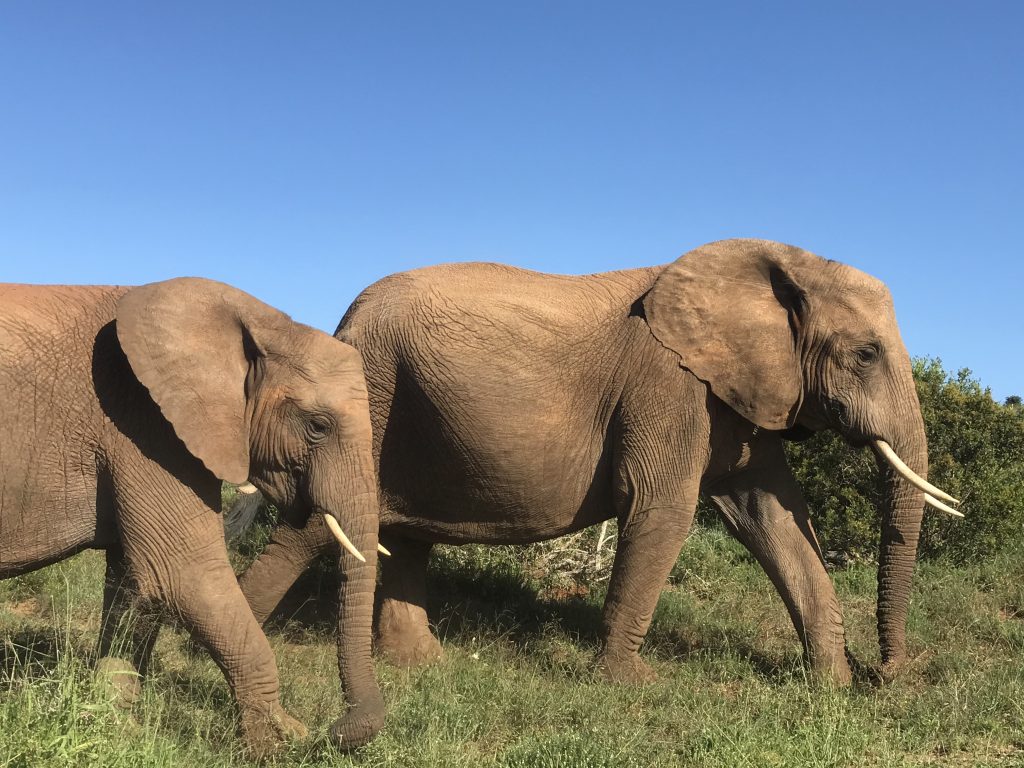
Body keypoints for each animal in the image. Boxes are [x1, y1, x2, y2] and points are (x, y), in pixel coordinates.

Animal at [0, 278, 382, 757]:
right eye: (317, 426)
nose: (334, 730)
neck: (261, 321)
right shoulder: (145, 425)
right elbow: (184, 576)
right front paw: (279, 743)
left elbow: (133, 583)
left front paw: (117, 723)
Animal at [235, 241, 954, 692]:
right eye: (865, 354)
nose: (886, 674)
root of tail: (344, 318)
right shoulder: (668, 385)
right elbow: (662, 508)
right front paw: (632, 684)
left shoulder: (736, 394)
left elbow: (772, 517)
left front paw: (830, 686)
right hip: (374, 394)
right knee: (320, 524)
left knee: (405, 533)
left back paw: (422, 666)